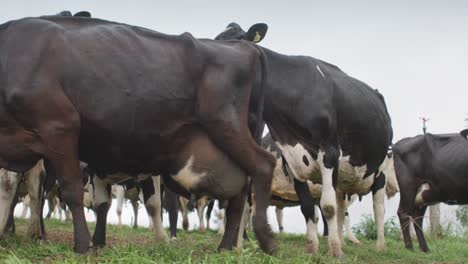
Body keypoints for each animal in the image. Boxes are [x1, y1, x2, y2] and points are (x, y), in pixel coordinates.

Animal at [215, 22, 392, 256]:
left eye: (234, 44)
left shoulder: (329, 152)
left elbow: (327, 206)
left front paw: (334, 251)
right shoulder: (292, 160)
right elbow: (308, 207)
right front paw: (313, 247)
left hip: (381, 168)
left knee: (378, 207)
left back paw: (380, 246)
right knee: (342, 207)